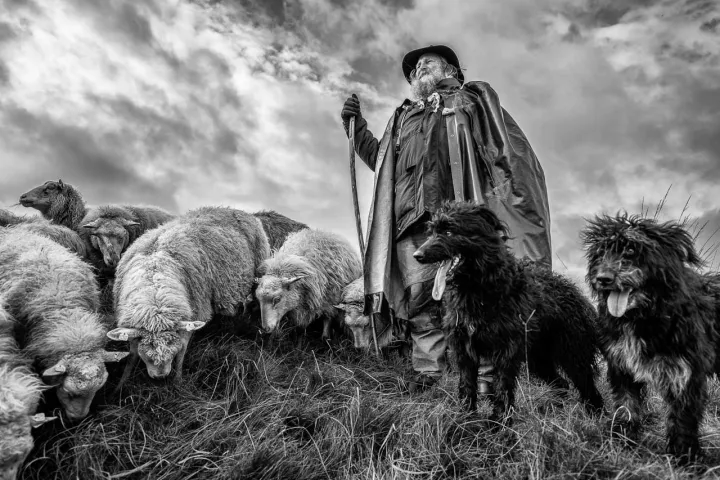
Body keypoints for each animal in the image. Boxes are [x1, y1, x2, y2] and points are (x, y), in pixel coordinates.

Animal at [108, 207, 272, 386]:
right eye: (148, 355)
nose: (160, 377)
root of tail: (238, 210)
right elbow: (131, 355)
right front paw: (121, 384)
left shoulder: (194, 313)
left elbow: (182, 350)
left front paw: (178, 380)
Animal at [414, 202, 604, 424]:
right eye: (432, 231)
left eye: (449, 231)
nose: (417, 255)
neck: (478, 288)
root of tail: (579, 296)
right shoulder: (464, 348)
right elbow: (467, 385)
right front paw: (465, 418)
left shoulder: (506, 348)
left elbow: (502, 385)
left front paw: (499, 422)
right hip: (538, 357)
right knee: (561, 384)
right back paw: (553, 408)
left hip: (572, 353)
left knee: (587, 387)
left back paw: (598, 417)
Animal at [584, 213, 716, 462]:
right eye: (601, 252)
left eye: (631, 250)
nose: (603, 278)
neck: (643, 316)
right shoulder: (622, 365)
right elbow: (625, 408)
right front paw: (621, 444)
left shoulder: (685, 373)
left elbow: (682, 420)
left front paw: (684, 460)